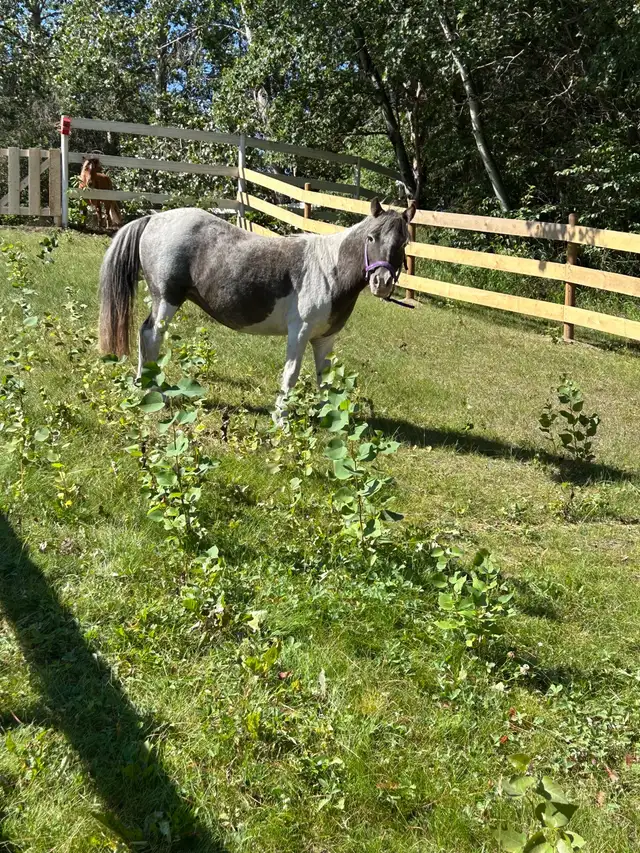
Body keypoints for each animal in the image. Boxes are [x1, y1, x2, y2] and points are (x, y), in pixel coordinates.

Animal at [98, 198, 416, 413]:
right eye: (371, 237)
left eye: (402, 244)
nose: (382, 282)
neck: (329, 270)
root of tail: (154, 219)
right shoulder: (299, 332)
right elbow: (291, 374)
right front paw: (281, 418)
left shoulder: (325, 338)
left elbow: (325, 380)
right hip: (167, 299)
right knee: (152, 337)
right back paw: (155, 395)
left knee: (144, 335)